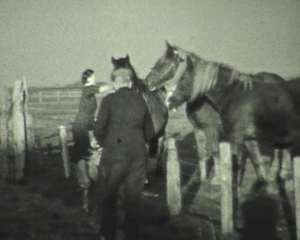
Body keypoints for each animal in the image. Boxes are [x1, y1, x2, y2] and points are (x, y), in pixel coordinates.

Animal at [146, 41, 300, 186]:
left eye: (163, 63)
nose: (148, 82)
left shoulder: (211, 128)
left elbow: (215, 151)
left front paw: (217, 179)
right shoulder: (198, 128)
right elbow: (202, 154)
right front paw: (203, 179)